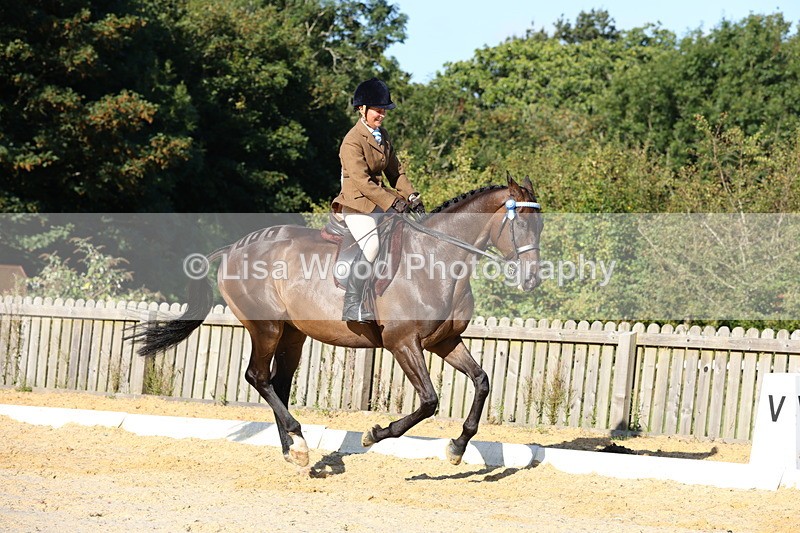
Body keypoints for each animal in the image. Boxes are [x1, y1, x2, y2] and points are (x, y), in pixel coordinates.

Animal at [131, 175, 543, 468]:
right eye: (521, 224)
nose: (532, 280)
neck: (437, 259)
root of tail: (234, 248)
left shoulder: (444, 342)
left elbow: (482, 381)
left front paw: (457, 447)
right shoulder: (402, 343)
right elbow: (429, 401)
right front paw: (374, 434)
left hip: (293, 334)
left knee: (278, 383)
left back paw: (294, 451)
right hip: (266, 328)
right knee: (258, 377)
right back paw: (298, 442)